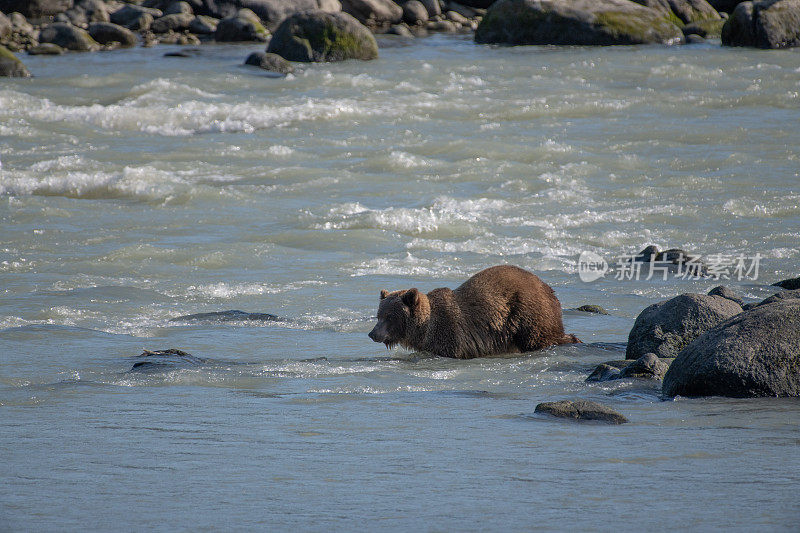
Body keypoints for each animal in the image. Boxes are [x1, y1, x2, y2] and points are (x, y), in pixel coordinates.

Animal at [366, 264, 580, 358]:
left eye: (389, 316)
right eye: (378, 315)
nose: (372, 333)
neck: (425, 329)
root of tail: (547, 287)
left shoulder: (451, 335)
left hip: (526, 311)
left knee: (540, 337)